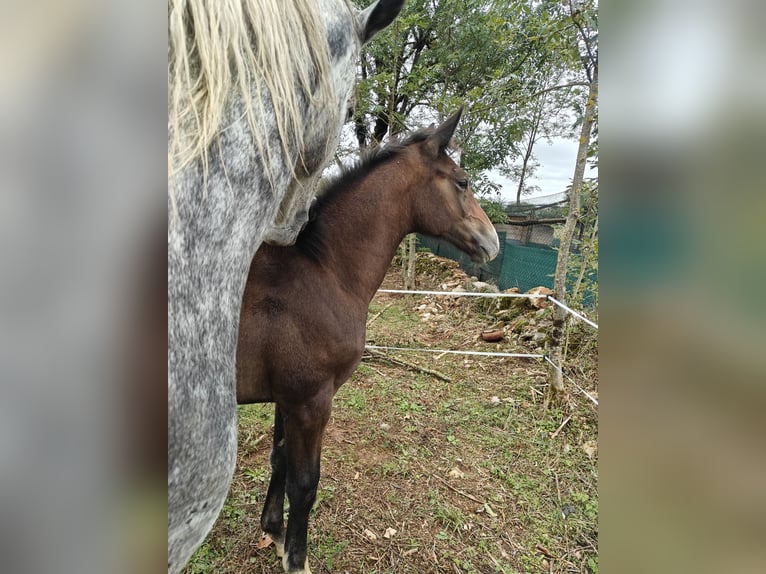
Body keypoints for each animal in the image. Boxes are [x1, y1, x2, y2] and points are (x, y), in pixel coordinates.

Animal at [169, 2, 408, 572]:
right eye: (462, 185)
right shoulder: (311, 400)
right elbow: (304, 481)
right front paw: (294, 555)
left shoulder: (289, 397)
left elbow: (280, 461)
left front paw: (273, 532)